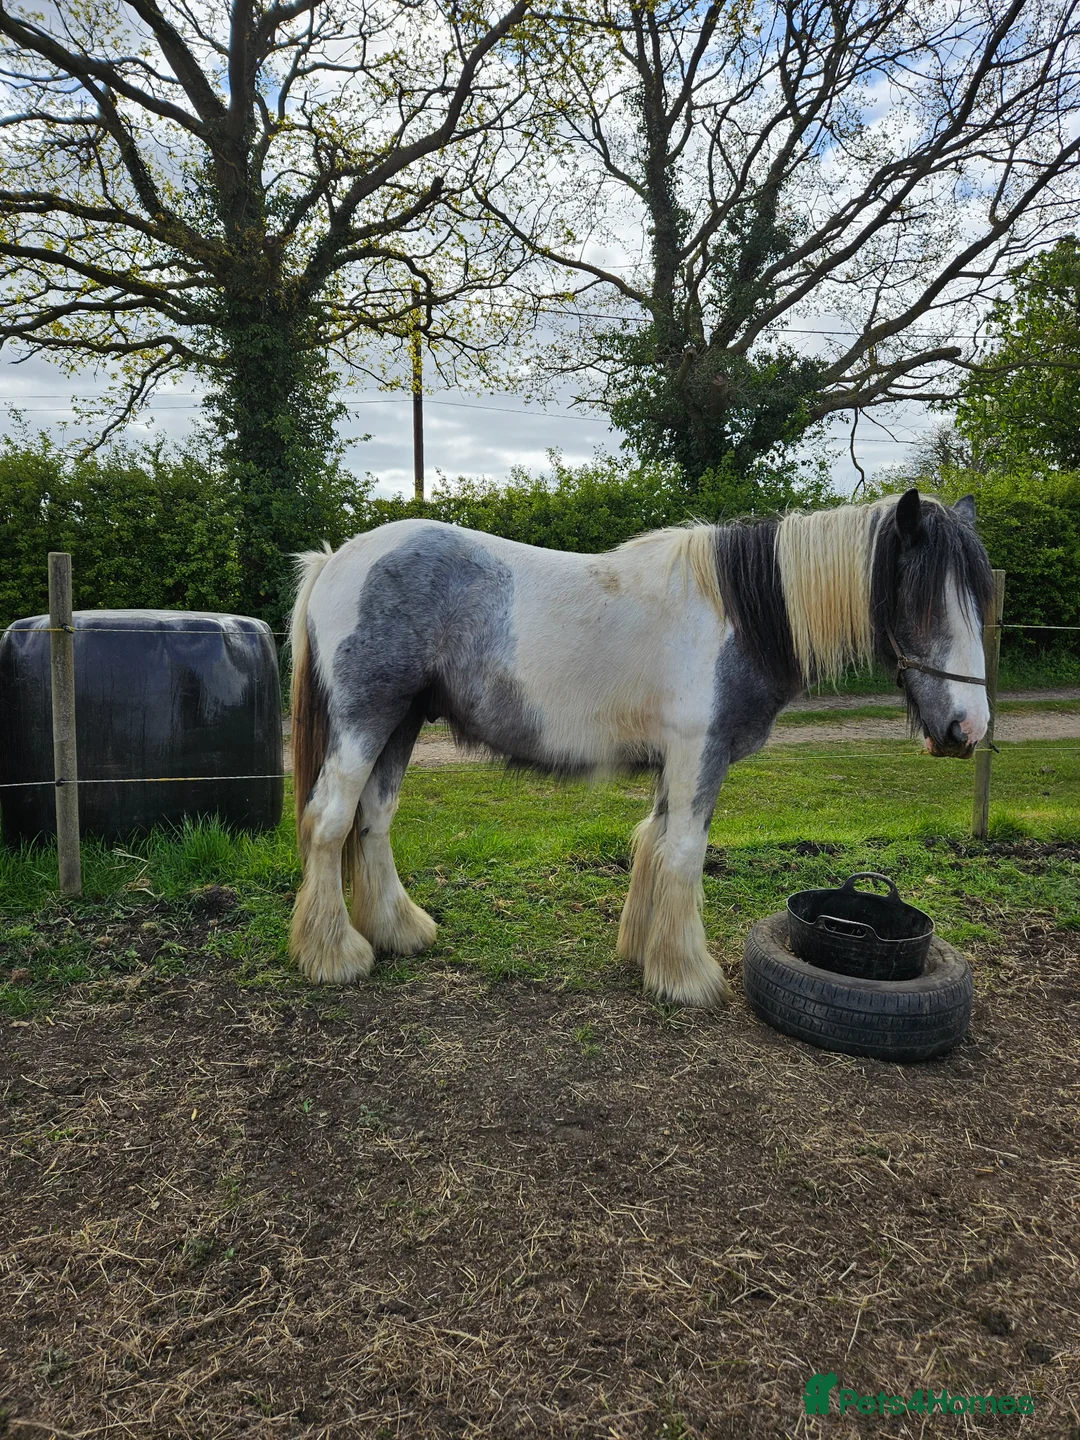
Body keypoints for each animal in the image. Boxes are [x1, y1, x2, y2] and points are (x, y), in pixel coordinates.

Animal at [287, 488, 994, 1005]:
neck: (739, 616)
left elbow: (652, 843)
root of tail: (336, 559)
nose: (968, 729)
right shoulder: (699, 755)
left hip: (401, 722)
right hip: (367, 719)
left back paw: (397, 931)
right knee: (329, 821)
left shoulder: (674, 762)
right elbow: (683, 852)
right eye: (919, 601)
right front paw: (687, 975)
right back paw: (335, 955)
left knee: (373, 820)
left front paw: (644, 951)